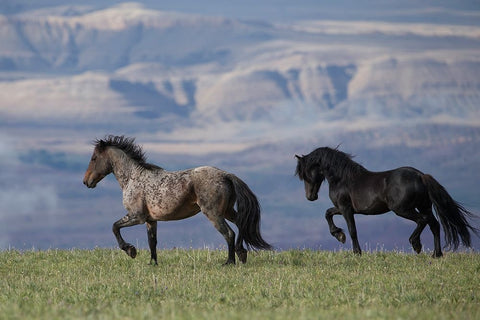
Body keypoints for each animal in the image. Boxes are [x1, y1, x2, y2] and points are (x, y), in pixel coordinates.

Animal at [84, 135, 272, 264]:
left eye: (94, 158)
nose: (86, 181)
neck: (133, 178)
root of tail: (226, 175)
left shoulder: (137, 217)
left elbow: (115, 227)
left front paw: (131, 250)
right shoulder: (151, 220)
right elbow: (152, 241)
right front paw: (153, 263)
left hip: (213, 213)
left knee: (229, 233)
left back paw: (229, 262)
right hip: (226, 211)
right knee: (240, 223)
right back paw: (242, 254)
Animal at [294, 148, 478, 258]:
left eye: (306, 174)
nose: (310, 197)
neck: (342, 179)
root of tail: (420, 175)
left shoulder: (346, 209)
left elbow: (352, 230)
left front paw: (356, 251)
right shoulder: (343, 208)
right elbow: (328, 213)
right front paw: (339, 235)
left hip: (402, 209)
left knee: (422, 221)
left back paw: (416, 245)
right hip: (423, 206)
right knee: (434, 225)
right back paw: (436, 254)